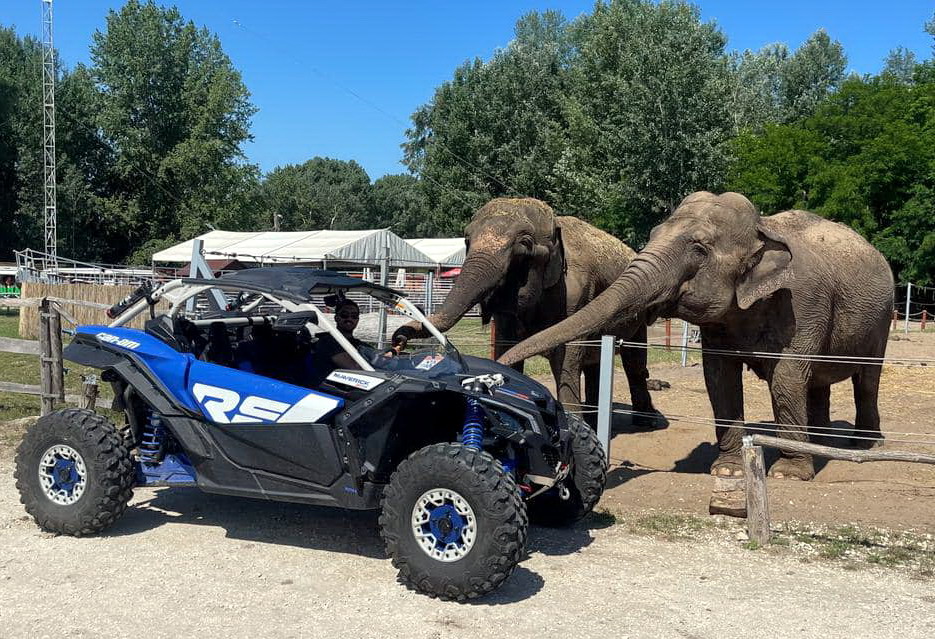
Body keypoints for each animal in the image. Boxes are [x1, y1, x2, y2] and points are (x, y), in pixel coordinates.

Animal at [394, 195, 660, 424]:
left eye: (524, 245)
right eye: (467, 240)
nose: (398, 340)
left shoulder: (578, 292)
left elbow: (567, 355)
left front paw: (573, 424)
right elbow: (506, 343)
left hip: (639, 310)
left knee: (634, 361)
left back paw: (645, 421)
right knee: (596, 362)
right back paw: (596, 420)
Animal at [500, 191, 896, 480]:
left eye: (699, 249)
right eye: (653, 235)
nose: (500, 364)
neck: (763, 228)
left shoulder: (805, 304)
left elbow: (786, 378)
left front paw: (789, 475)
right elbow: (718, 378)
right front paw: (727, 471)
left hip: (881, 321)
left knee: (866, 380)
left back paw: (861, 445)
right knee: (818, 382)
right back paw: (823, 441)